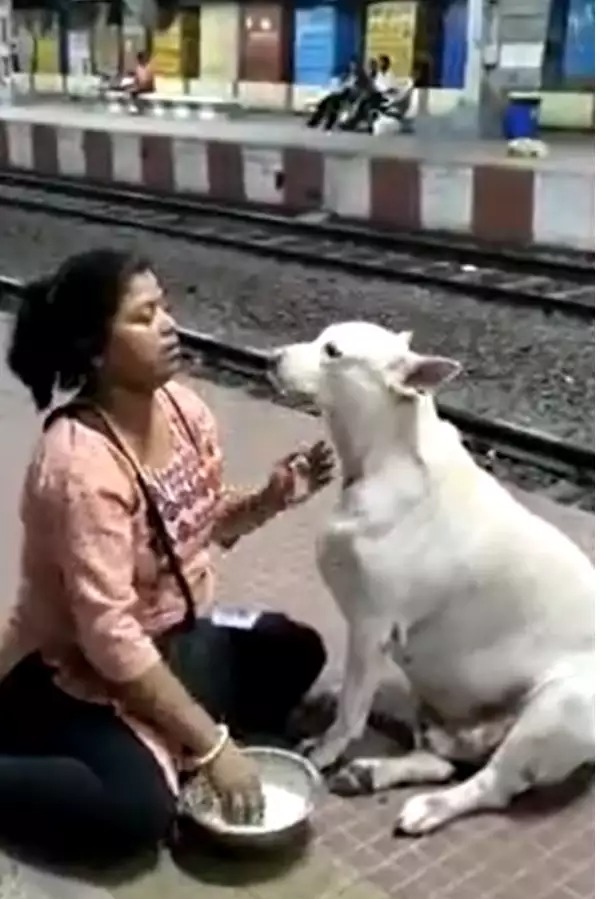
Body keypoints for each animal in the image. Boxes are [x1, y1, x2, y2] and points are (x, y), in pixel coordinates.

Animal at [274, 322, 592, 836]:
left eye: (333, 352)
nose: (272, 357)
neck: (387, 456)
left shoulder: (371, 626)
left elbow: (351, 711)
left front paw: (324, 750)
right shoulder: (374, 638)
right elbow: (354, 696)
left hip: (556, 708)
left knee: (489, 785)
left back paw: (430, 806)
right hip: (426, 681)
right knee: (440, 758)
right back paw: (374, 771)